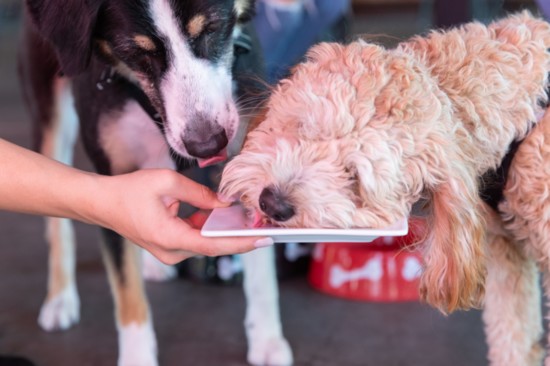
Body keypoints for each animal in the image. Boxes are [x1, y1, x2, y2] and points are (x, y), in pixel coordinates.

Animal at [17, 1, 294, 364]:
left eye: (211, 29)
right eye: (136, 52)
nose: (207, 145)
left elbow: (261, 275)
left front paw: (267, 340)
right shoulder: (112, 183)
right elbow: (128, 291)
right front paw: (137, 356)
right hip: (51, 111)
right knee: (57, 223)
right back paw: (60, 297)